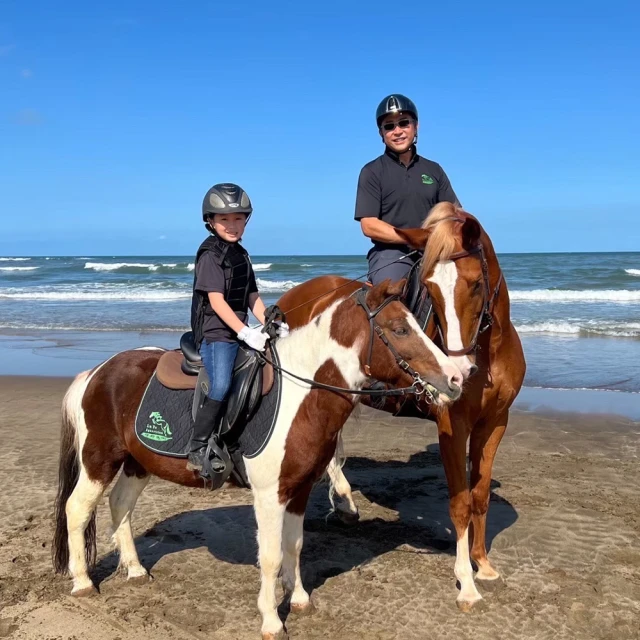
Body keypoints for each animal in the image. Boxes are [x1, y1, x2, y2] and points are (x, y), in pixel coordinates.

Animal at [50, 282, 460, 640]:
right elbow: (271, 556)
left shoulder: (298, 490)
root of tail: (96, 373)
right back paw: (83, 582)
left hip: (137, 463)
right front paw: (271, 621)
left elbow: (294, 546)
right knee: (77, 509)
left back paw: (135, 570)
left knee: (120, 505)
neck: (302, 392)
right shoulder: (268, 494)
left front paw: (299, 599)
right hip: (98, 459)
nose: (458, 376)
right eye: (400, 329)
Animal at [278, 204, 528, 608]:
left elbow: (479, 495)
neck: (488, 354)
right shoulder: (453, 427)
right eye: (431, 289)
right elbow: (460, 502)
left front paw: (484, 566)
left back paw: (344, 505)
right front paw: (466, 582)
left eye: (476, 284)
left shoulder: (495, 423)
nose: (459, 371)